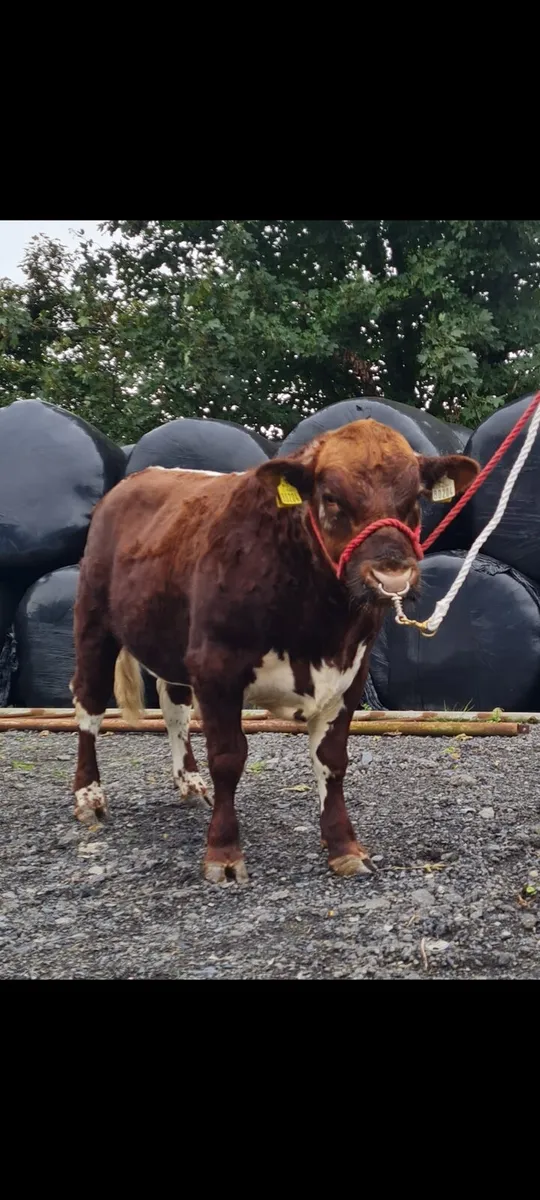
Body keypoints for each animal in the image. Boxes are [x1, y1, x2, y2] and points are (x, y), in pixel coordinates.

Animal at [71, 419, 479, 883]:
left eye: (415, 499)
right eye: (331, 497)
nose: (392, 577)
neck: (319, 628)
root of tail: (137, 479)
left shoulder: (349, 673)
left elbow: (332, 759)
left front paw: (343, 846)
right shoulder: (215, 666)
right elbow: (228, 758)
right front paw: (223, 852)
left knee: (174, 708)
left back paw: (189, 783)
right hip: (94, 624)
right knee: (89, 704)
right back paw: (88, 797)